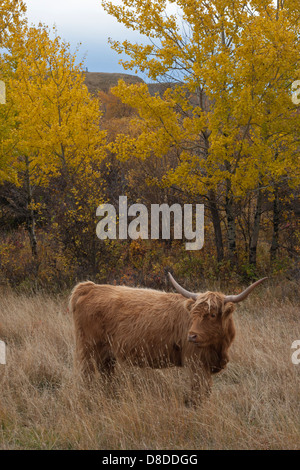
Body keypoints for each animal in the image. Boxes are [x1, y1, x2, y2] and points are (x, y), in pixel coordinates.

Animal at [71, 274, 268, 402]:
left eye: (212, 315)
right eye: (193, 314)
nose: (191, 335)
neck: (220, 347)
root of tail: (91, 287)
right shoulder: (196, 364)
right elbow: (199, 392)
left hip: (107, 354)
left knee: (106, 375)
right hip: (88, 348)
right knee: (88, 375)